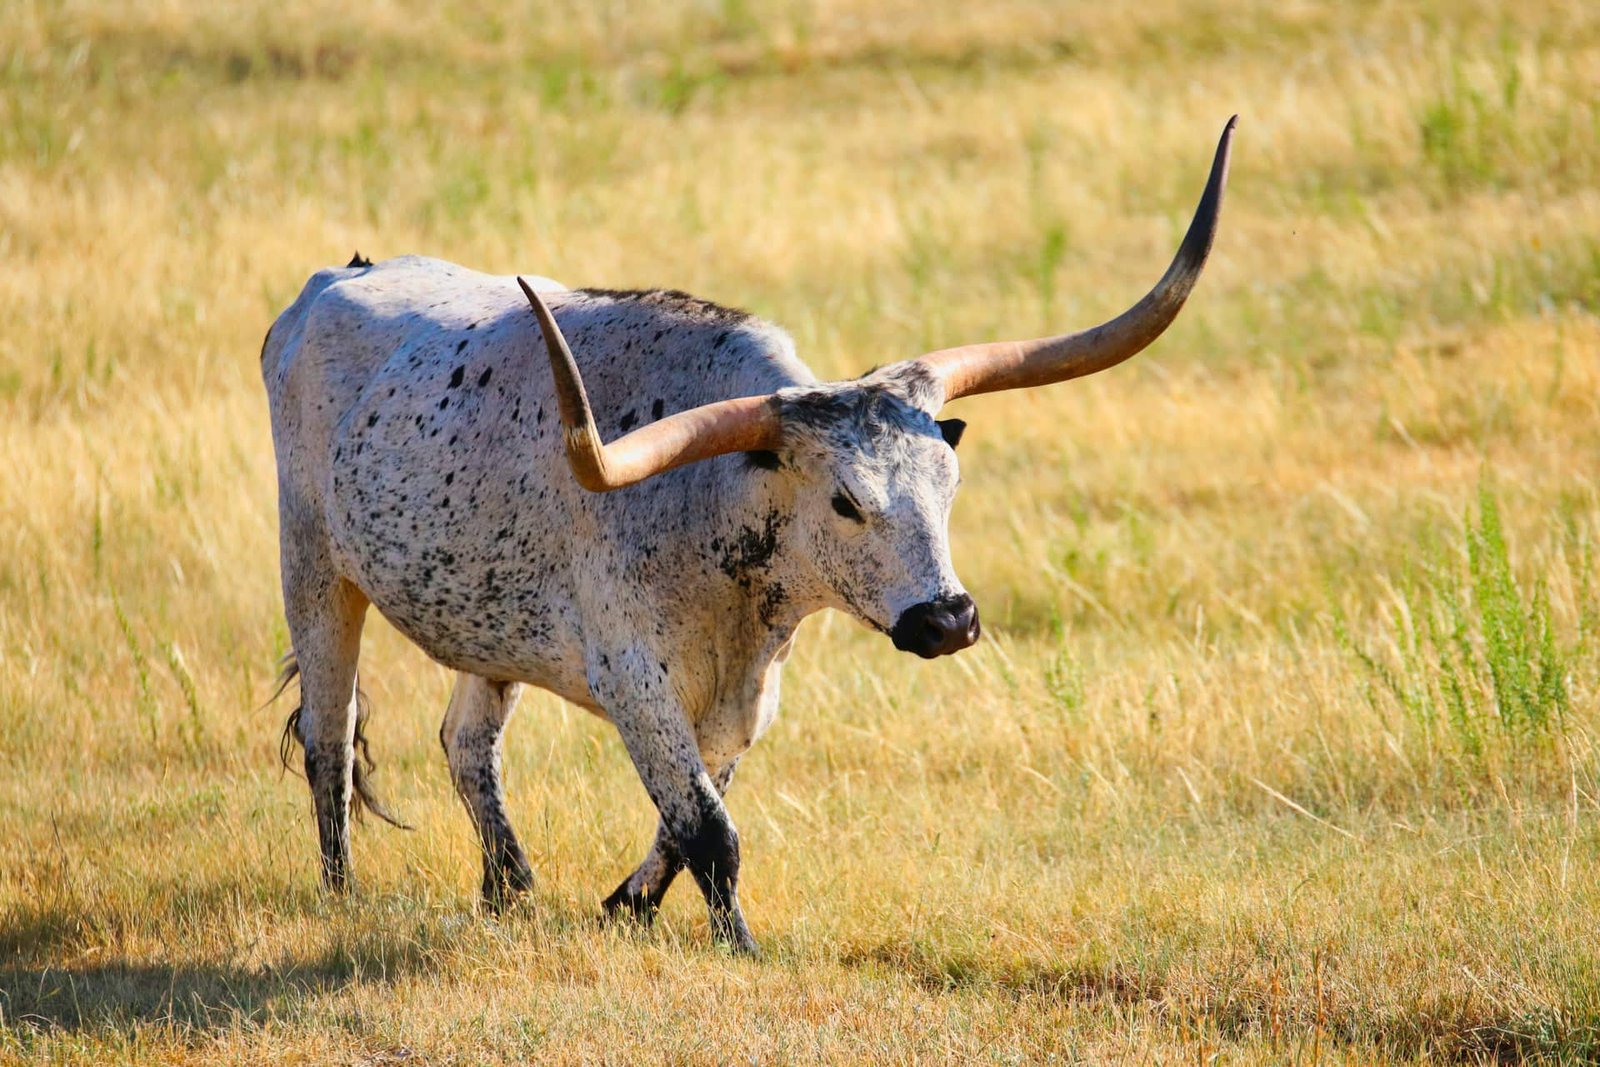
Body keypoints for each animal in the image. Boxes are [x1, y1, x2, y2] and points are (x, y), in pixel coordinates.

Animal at [263, 119, 1235, 954]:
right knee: (327, 733)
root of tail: (330, 281)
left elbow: (688, 815)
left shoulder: (747, 693)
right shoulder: (634, 679)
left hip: (486, 622)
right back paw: (342, 891)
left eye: (950, 484)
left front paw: (625, 905)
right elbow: (708, 828)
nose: (949, 619)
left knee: (467, 745)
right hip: (313, 563)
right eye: (845, 501)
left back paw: (509, 888)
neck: (714, 506)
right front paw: (741, 945)